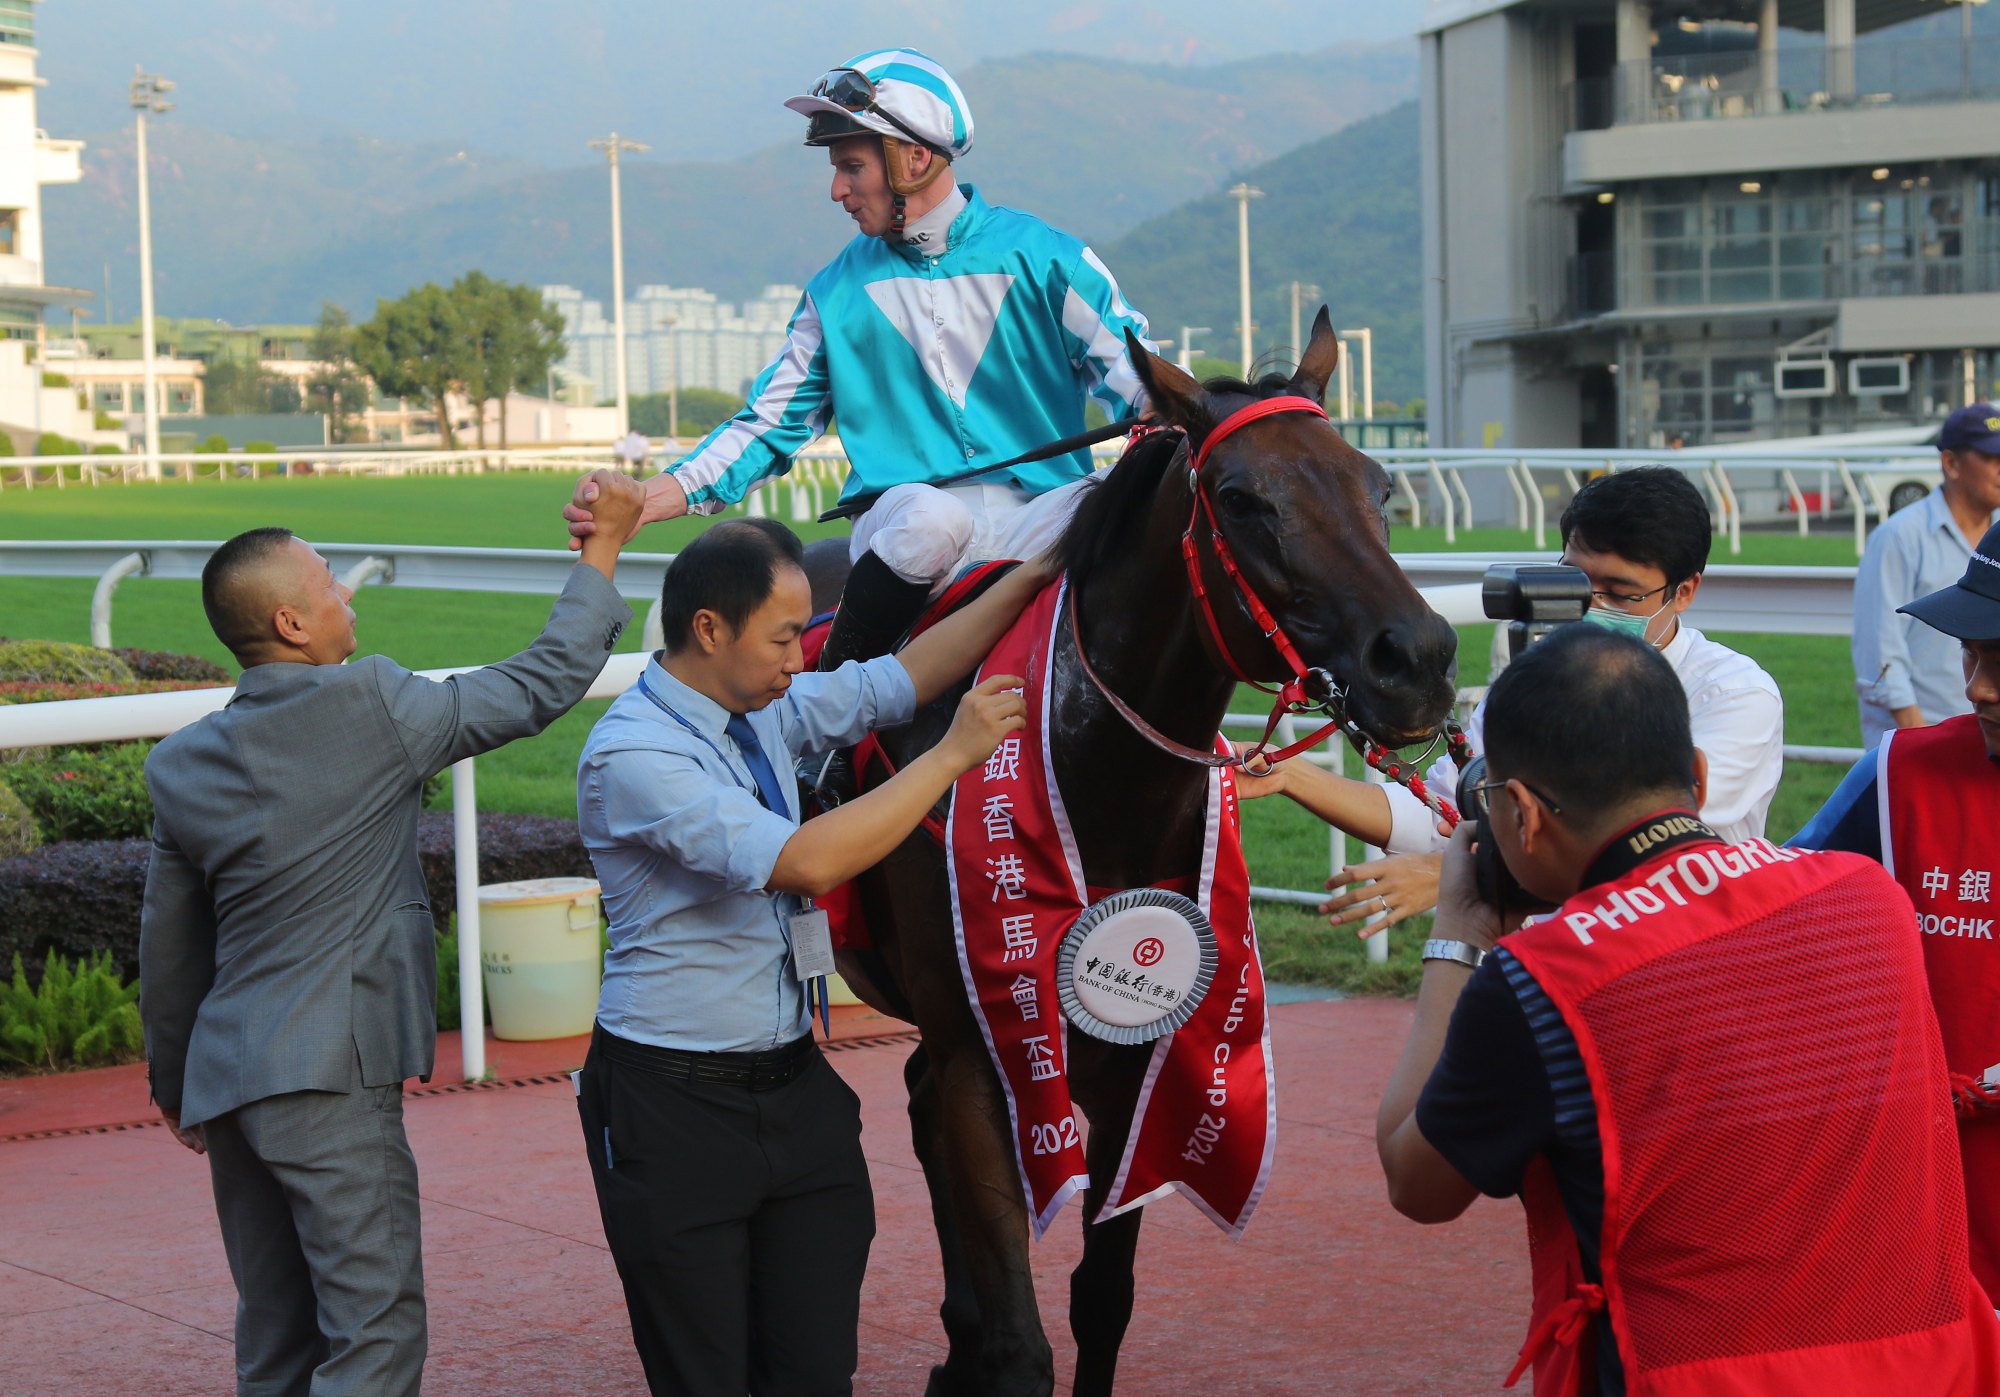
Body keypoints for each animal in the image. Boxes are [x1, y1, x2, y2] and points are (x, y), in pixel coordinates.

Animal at [828, 316, 1456, 1392]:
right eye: (1241, 499)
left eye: (1377, 485)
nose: (1417, 657)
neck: (1095, 780)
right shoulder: (986, 1048)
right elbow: (1021, 1343)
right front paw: (986, 1341)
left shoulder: (1139, 1053)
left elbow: (1102, 1301)